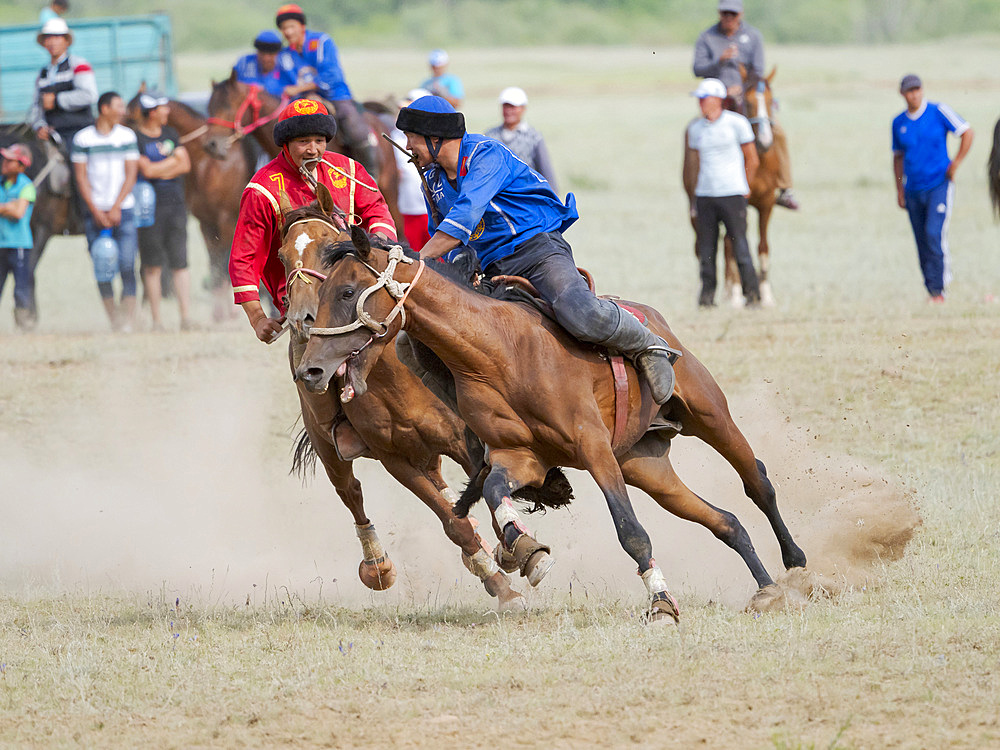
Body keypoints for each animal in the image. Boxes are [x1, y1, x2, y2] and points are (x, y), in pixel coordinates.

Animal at [274, 187, 524, 612]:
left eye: (326, 246)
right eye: (281, 256)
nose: (303, 318)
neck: (393, 379)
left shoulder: (466, 442)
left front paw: (513, 551)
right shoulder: (396, 461)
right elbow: (452, 522)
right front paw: (500, 583)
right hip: (330, 449)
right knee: (352, 494)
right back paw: (378, 565)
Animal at [298, 229, 812, 624]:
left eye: (347, 292)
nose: (310, 370)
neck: (501, 352)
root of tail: (654, 319)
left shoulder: (593, 449)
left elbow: (631, 532)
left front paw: (662, 603)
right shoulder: (519, 457)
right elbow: (492, 493)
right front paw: (526, 551)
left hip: (709, 414)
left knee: (756, 480)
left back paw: (796, 565)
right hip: (646, 466)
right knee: (724, 520)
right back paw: (766, 588)